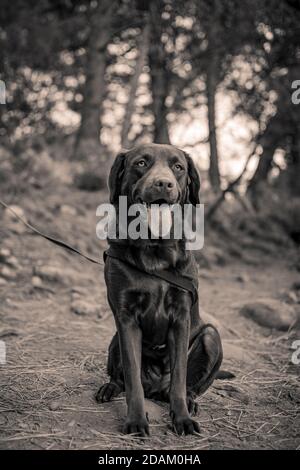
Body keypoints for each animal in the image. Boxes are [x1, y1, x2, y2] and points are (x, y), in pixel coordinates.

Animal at [96, 144, 223, 436]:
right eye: (141, 163)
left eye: (178, 167)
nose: (163, 184)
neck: (154, 250)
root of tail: (156, 389)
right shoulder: (125, 317)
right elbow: (132, 377)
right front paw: (135, 420)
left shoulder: (181, 317)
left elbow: (178, 379)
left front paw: (182, 419)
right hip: (114, 339)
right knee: (122, 379)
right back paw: (109, 388)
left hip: (212, 337)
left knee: (189, 385)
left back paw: (190, 402)